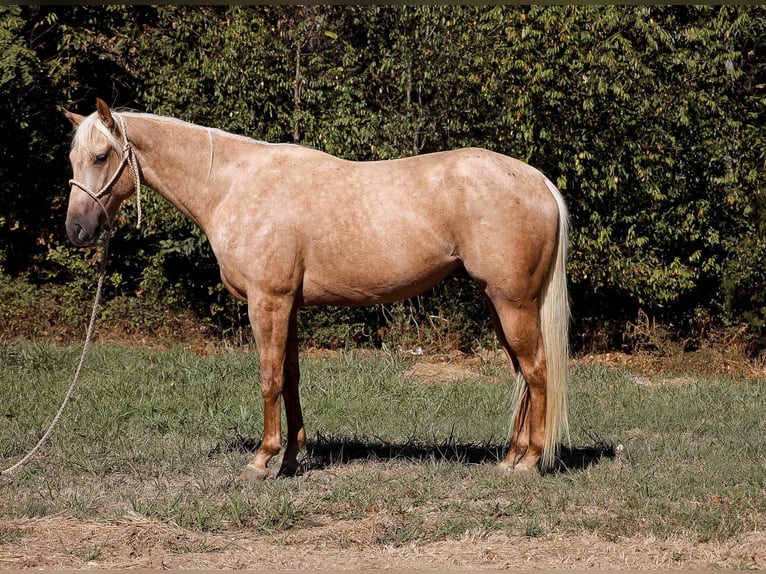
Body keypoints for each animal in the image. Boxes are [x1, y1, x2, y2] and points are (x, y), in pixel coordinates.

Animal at [64, 98, 568, 476]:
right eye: (73, 159)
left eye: (101, 156)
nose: (77, 229)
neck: (232, 185)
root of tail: (539, 181)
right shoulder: (287, 306)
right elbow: (290, 379)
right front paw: (290, 459)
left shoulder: (267, 303)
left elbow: (269, 377)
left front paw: (262, 460)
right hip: (500, 305)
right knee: (522, 376)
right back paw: (510, 459)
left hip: (513, 303)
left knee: (537, 371)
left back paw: (529, 463)